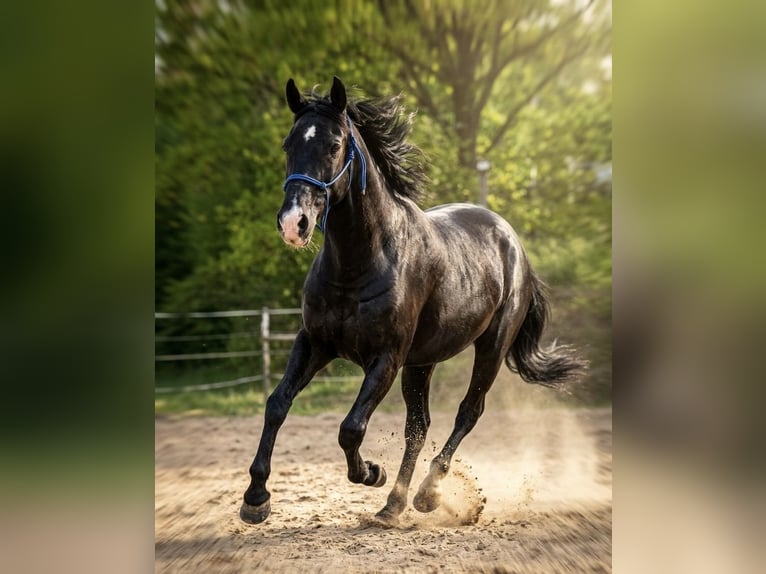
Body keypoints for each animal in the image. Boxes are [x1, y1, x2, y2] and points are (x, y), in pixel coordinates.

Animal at [240, 76, 586, 526]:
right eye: (288, 144)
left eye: (334, 145)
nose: (292, 223)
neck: (358, 263)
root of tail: (513, 243)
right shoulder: (315, 343)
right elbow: (277, 404)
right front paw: (255, 498)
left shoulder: (386, 356)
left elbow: (351, 427)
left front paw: (371, 472)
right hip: (422, 363)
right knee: (418, 427)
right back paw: (394, 504)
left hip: (490, 348)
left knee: (468, 412)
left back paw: (426, 494)